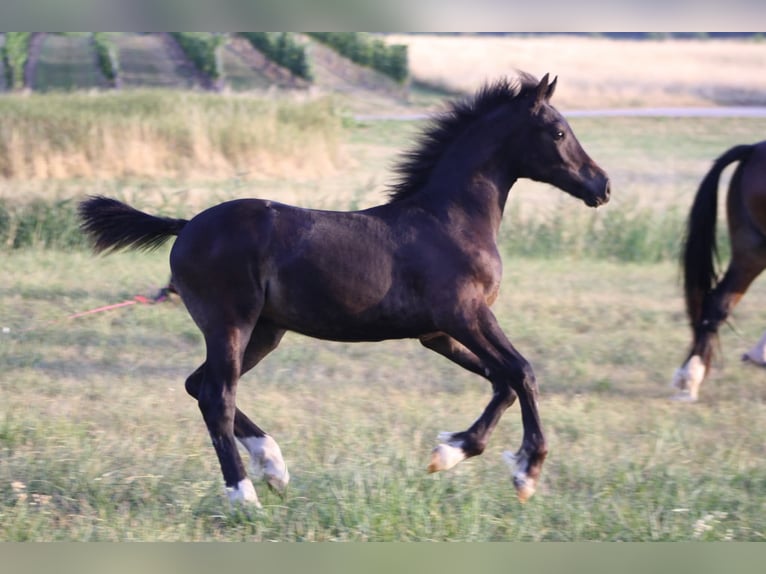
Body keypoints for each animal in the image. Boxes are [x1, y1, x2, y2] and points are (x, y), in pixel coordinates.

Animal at [79, 73, 611, 506]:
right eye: (558, 131)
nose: (602, 186)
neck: (452, 219)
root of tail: (186, 224)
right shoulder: (465, 315)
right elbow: (523, 373)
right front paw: (526, 473)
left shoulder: (438, 333)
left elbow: (501, 381)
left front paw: (450, 451)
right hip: (230, 323)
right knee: (216, 397)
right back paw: (244, 495)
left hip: (266, 331)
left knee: (197, 385)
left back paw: (274, 466)